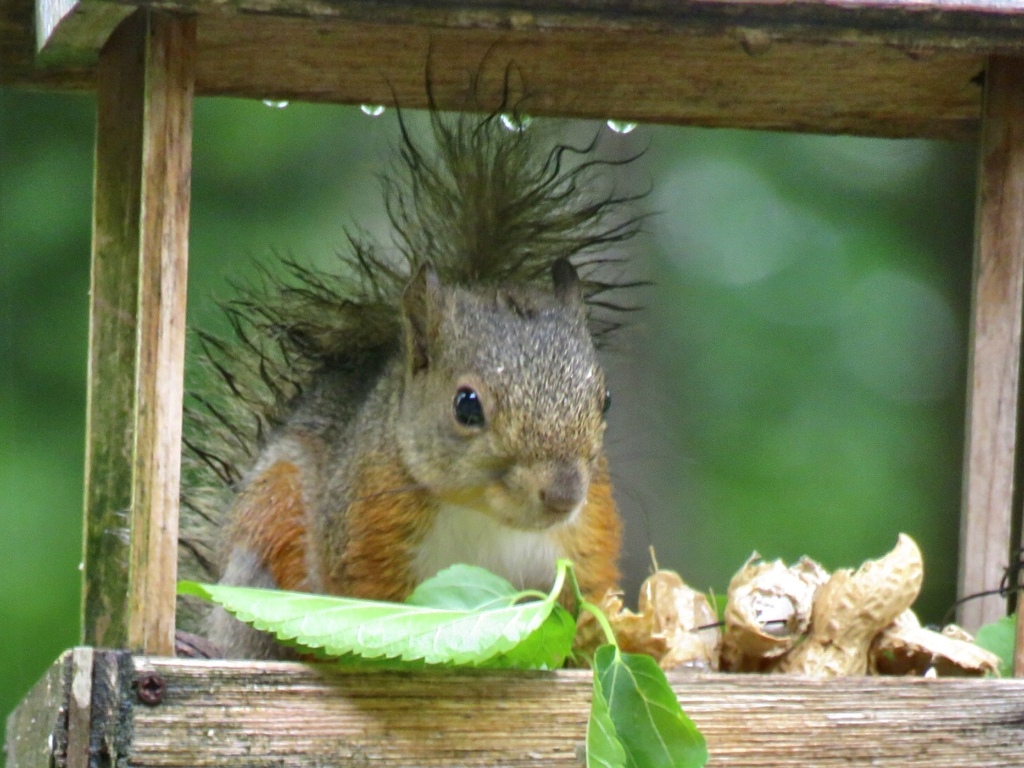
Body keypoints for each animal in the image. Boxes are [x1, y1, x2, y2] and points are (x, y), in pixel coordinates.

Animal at [177, 97, 638, 663]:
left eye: (606, 400)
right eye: (466, 405)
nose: (563, 494)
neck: (484, 514)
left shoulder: (586, 540)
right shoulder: (366, 534)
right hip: (267, 539)